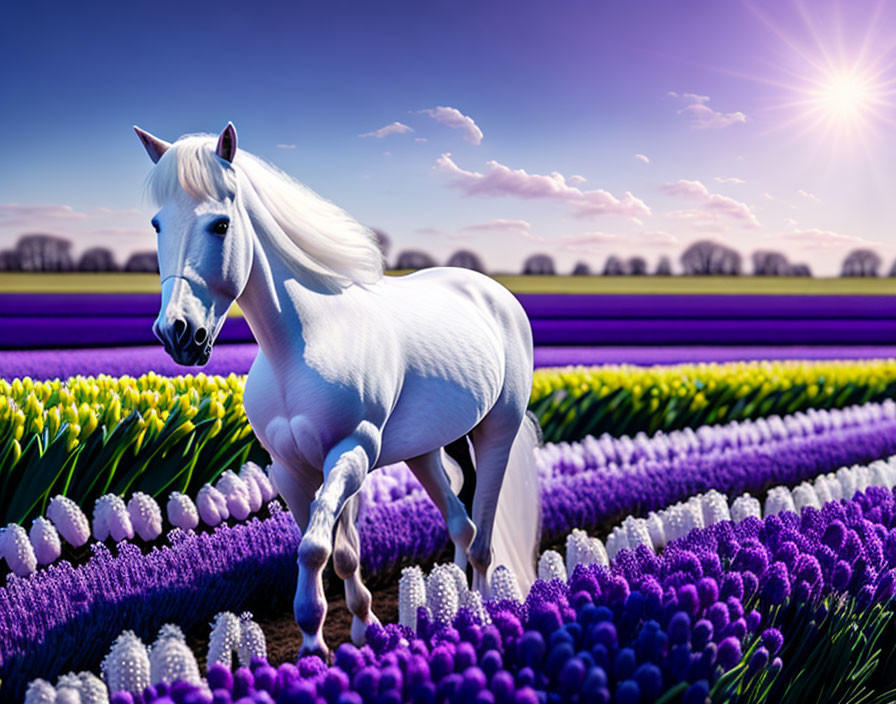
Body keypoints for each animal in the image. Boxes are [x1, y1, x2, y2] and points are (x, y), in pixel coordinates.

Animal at [133, 124, 540, 656]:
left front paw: (314, 645)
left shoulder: (351, 453)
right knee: (461, 523)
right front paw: (363, 629)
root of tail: (495, 293)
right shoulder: (291, 468)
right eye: (158, 224)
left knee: (483, 538)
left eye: (220, 225)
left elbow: (315, 547)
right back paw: (456, 606)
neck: (300, 343)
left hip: (497, 432)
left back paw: (487, 612)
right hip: (425, 450)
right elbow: (341, 551)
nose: (178, 333)